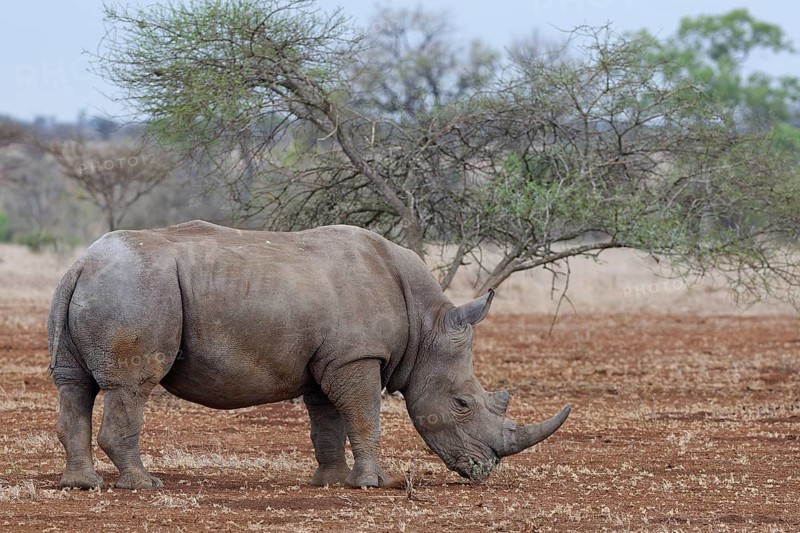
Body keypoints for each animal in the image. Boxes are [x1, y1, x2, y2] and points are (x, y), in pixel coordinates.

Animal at [48, 220, 570, 489]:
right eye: (461, 404)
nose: (485, 470)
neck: (428, 327)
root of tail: (80, 263)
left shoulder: (334, 360)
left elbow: (329, 422)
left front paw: (331, 482)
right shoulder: (357, 357)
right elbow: (364, 417)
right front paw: (373, 484)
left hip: (105, 286)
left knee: (75, 385)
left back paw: (82, 485)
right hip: (136, 289)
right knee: (131, 386)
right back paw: (144, 485)